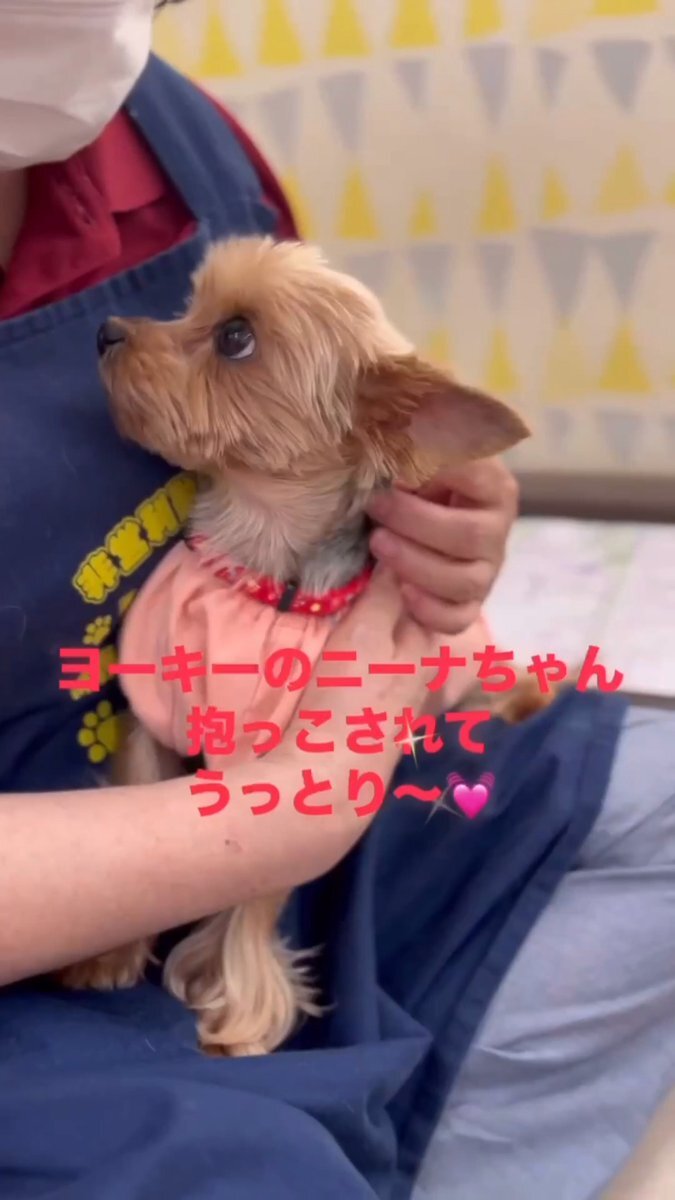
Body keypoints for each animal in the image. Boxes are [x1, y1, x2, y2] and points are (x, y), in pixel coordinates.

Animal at [57, 236, 530, 1056]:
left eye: (235, 337)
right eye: (190, 304)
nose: (109, 330)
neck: (258, 566)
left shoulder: (282, 772)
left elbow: (254, 898)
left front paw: (241, 1016)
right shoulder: (152, 714)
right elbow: (131, 791)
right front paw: (109, 953)